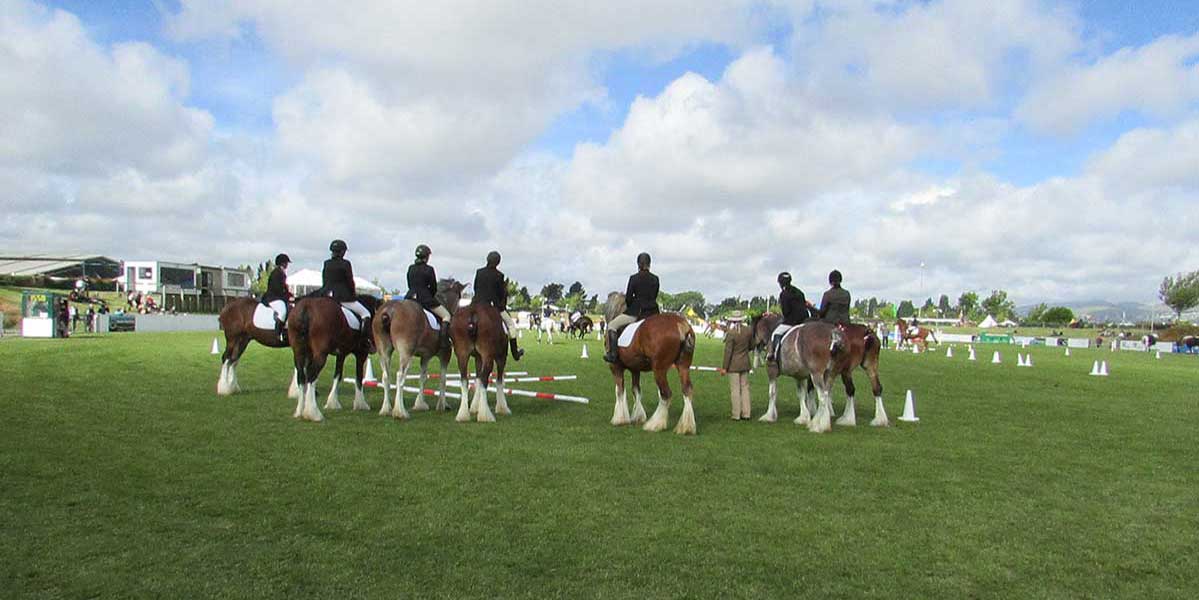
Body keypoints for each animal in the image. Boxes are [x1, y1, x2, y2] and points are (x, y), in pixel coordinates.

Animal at [371, 280, 465, 417]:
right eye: (459, 299)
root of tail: (390, 310)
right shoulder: (445, 354)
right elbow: (443, 379)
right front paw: (442, 405)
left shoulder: (425, 356)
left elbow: (423, 378)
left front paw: (420, 404)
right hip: (406, 353)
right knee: (400, 376)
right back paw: (400, 412)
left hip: (384, 351)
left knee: (386, 376)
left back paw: (386, 409)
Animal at [604, 292, 700, 434]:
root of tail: (680, 324)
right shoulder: (635, 369)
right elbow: (636, 390)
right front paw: (638, 417)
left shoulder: (615, 367)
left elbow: (620, 391)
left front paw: (619, 419)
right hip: (683, 366)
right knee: (687, 389)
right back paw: (686, 427)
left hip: (659, 369)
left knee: (666, 394)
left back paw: (655, 424)